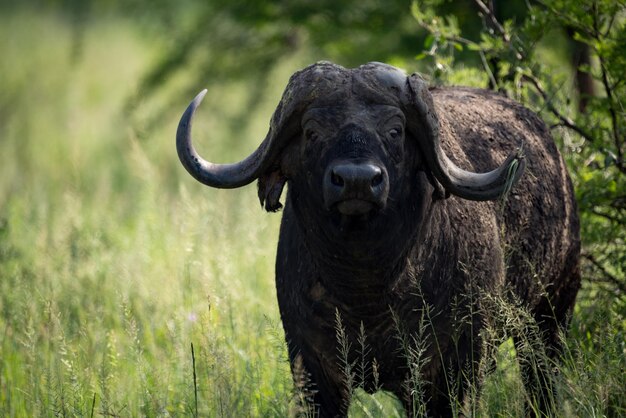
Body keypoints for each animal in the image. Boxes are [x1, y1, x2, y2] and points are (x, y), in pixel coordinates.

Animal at [173, 60, 576, 416]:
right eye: (312, 131)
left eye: (395, 130)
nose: (357, 181)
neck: (366, 289)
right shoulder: (311, 369)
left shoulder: (456, 369)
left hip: (550, 315)